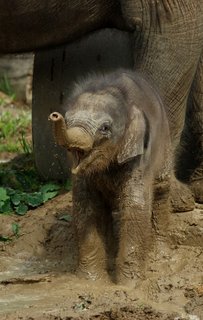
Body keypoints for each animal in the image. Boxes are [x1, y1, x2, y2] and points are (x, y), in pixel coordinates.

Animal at [49, 69, 171, 284]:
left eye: (105, 128)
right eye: (68, 119)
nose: (54, 116)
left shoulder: (139, 157)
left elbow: (135, 206)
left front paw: (128, 285)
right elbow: (86, 207)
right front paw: (91, 281)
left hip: (165, 144)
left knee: (162, 190)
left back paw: (161, 257)